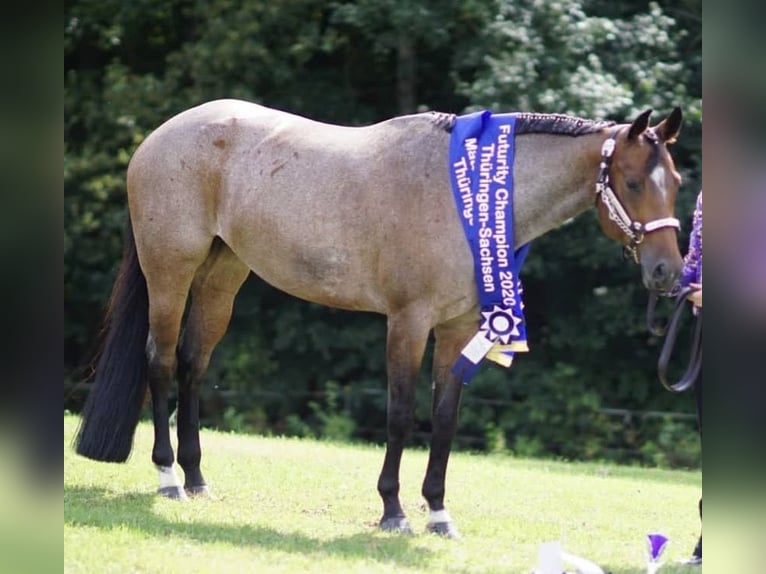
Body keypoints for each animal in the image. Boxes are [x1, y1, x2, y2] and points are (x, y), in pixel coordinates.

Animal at [75, 99, 685, 538]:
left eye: (675, 183)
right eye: (633, 182)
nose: (667, 273)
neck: (464, 194)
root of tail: (157, 137)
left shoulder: (457, 330)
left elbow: (444, 420)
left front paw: (439, 514)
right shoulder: (407, 323)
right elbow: (399, 416)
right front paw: (394, 511)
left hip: (222, 278)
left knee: (192, 366)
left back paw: (198, 479)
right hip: (171, 271)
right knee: (159, 362)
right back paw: (167, 478)